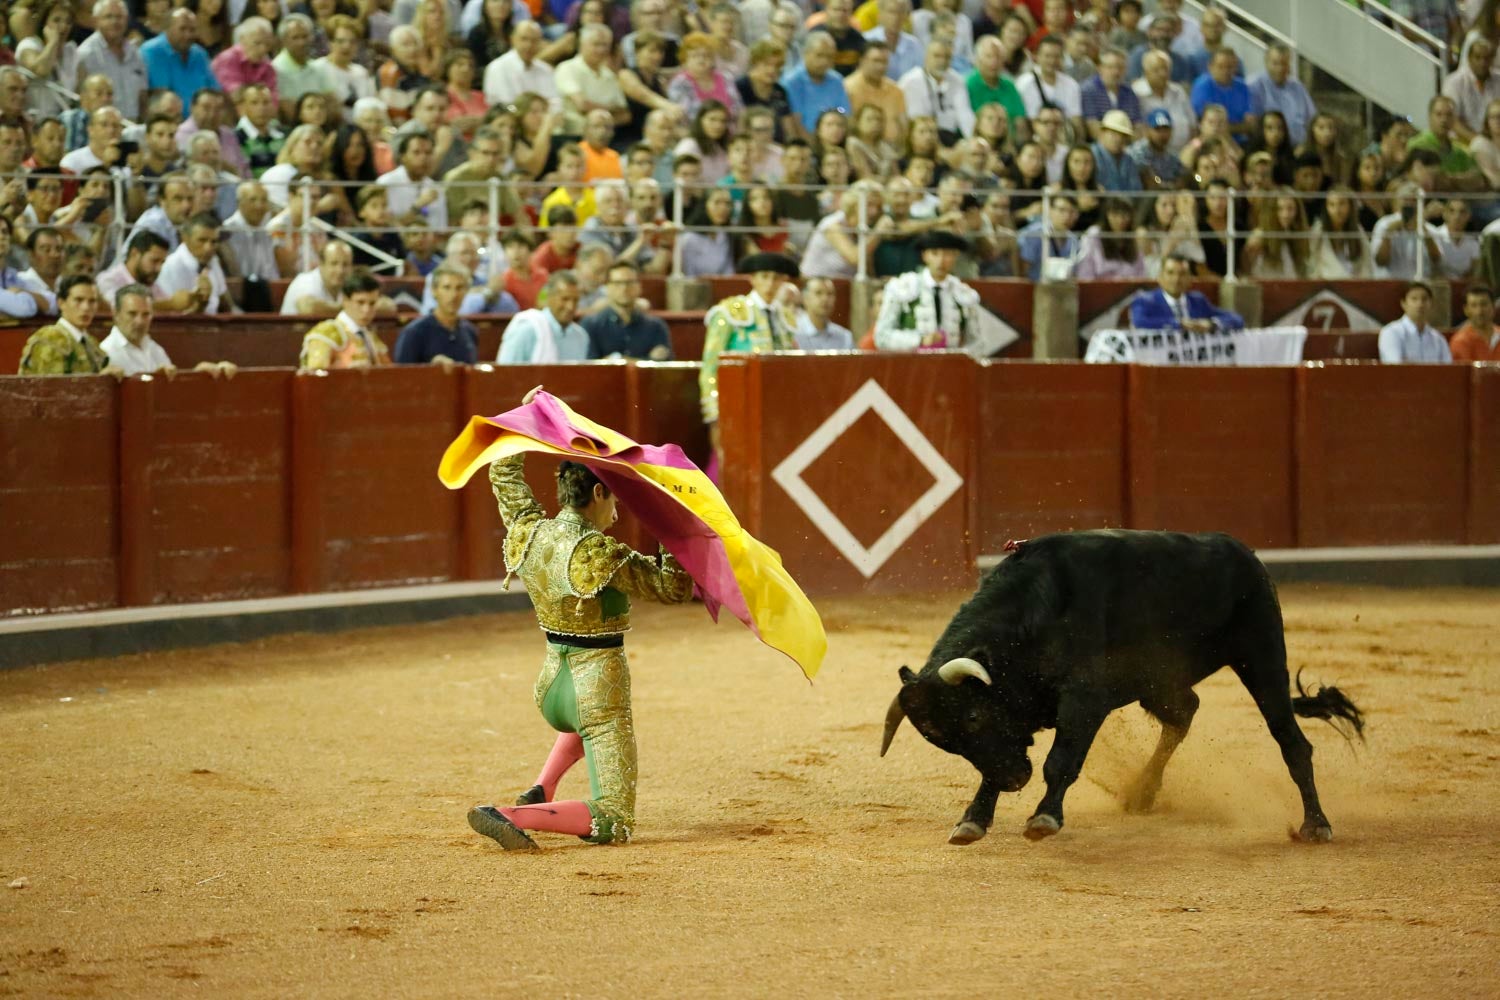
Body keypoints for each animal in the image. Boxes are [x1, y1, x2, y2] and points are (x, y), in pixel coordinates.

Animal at [876, 530, 1368, 845]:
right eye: (945, 742)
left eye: (975, 716)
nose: (1016, 782)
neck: (1033, 617)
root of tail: (1244, 553)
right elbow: (993, 766)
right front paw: (972, 821)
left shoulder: (1084, 701)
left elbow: (1060, 761)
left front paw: (1044, 818)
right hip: (1158, 682)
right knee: (1185, 711)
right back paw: (1142, 793)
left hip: (1261, 657)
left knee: (1292, 742)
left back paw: (1316, 825)